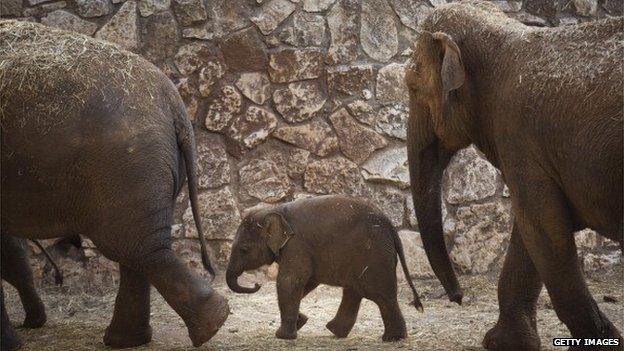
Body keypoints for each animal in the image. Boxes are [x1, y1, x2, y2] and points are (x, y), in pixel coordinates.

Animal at [225, 194, 424, 342]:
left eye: (243, 249)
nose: (257, 284)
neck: (276, 209)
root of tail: (391, 227)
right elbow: (306, 283)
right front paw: (301, 321)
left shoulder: (297, 245)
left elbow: (289, 281)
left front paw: (283, 336)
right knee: (355, 292)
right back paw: (338, 332)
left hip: (374, 255)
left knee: (380, 295)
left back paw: (391, 339)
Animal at [408, 2, 620, 351]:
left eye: (412, 87)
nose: (457, 297)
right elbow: (531, 229)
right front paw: (504, 342)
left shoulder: (518, 135)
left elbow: (544, 230)